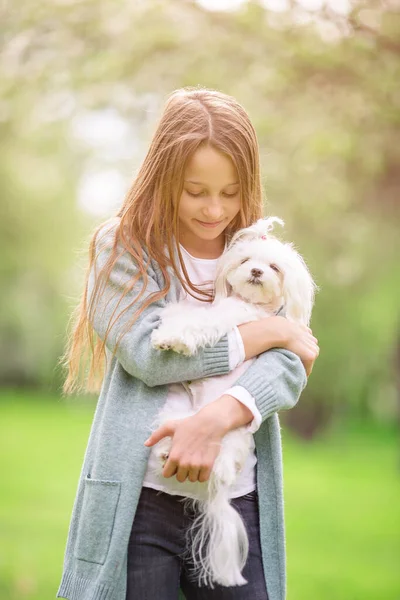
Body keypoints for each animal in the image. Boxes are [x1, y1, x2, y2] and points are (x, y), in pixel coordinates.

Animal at [148, 216, 318, 584]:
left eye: (273, 268)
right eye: (246, 260)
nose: (256, 272)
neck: (250, 304)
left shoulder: (228, 318)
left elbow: (200, 322)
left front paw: (173, 337)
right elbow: (189, 312)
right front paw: (170, 318)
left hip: (221, 447)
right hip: (177, 414)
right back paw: (166, 450)